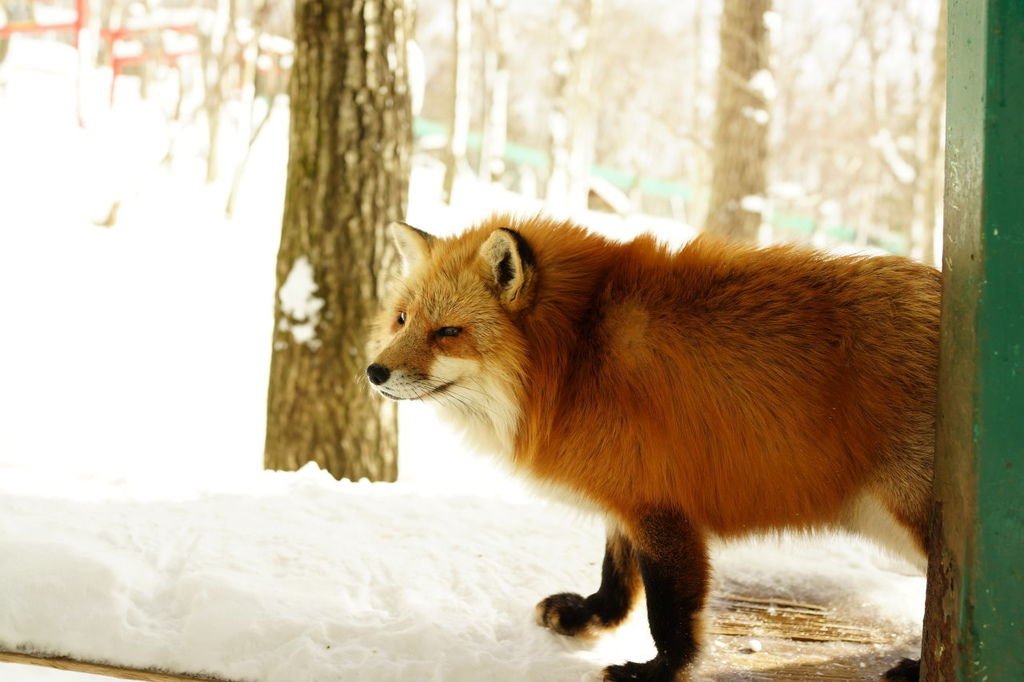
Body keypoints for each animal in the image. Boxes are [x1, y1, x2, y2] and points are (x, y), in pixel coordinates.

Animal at [366, 215, 937, 679]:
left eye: (448, 332)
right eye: (402, 319)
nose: (375, 372)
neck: (578, 354)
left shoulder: (662, 508)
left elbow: (668, 611)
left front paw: (657, 671)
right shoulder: (626, 489)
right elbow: (617, 578)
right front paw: (589, 617)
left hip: (913, 519)